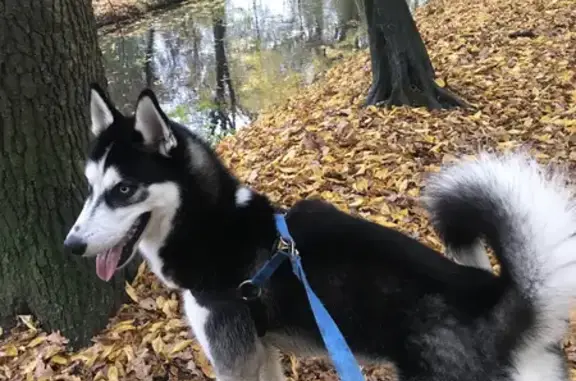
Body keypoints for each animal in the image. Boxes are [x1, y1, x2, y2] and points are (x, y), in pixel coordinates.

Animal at [65, 84, 576, 378]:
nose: (72, 245)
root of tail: (501, 304)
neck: (213, 225)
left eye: (124, 189)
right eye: (89, 187)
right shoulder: (264, 354)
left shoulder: (235, 361)